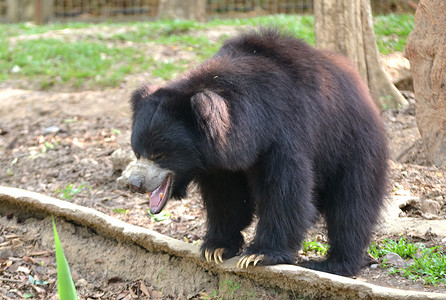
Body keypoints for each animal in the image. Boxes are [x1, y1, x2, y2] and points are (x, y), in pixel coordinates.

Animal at [127, 28, 388, 276]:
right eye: (138, 151)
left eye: (159, 155)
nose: (133, 184)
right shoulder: (219, 163)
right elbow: (226, 197)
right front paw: (216, 248)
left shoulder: (284, 133)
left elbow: (284, 191)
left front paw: (258, 255)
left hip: (351, 145)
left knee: (351, 205)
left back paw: (334, 264)